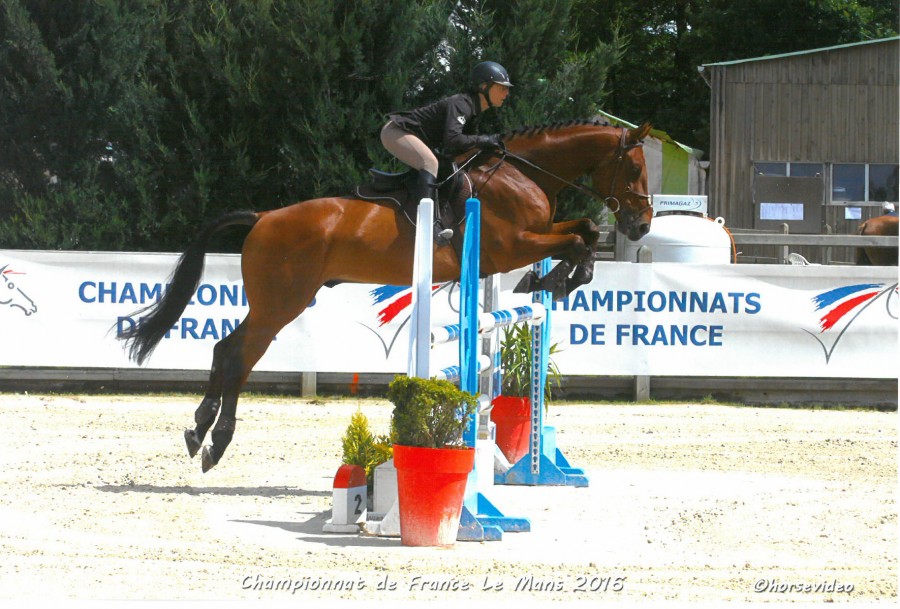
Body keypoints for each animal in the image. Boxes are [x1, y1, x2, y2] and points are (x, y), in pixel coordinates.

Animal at [119, 120, 653, 472]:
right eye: (633, 169)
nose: (641, 225)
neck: (522, 174)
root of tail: (263, 217)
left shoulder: (534, 237)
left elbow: (583, 230)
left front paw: (552, 280)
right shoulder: (514, 244)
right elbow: (579, 240)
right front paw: (555, 280)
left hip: (279, 301)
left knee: (226, 349)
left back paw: (199, 432)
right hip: (280, 302)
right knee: (236, 353)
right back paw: (212, 439)